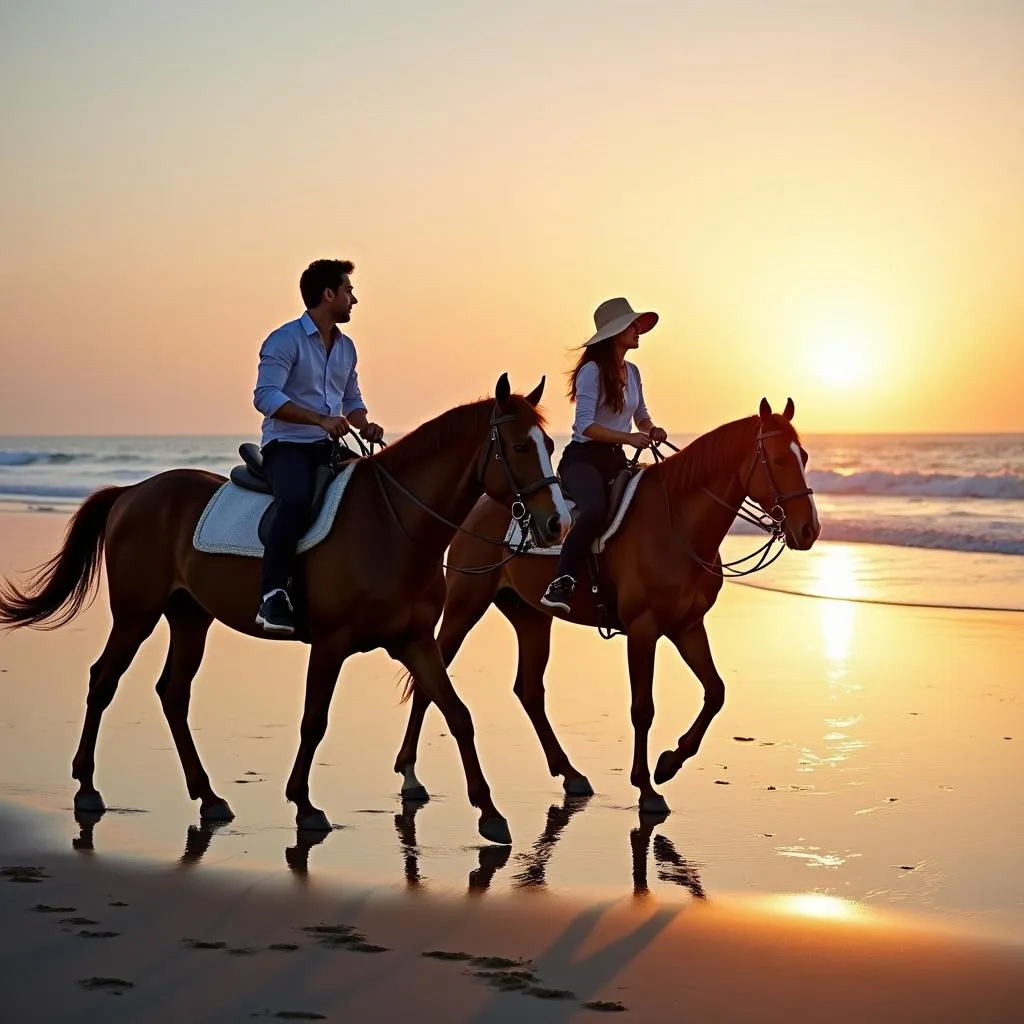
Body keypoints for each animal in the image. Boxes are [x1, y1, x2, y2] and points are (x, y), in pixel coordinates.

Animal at [0, 372, 569, 843]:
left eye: (550, 444)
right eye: (520, 446)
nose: (556, 524)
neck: (394, 526)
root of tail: (133, 492)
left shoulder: (415, 641)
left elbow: (457, 712)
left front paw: (489, 813)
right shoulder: (332, 642)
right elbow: (314, 720)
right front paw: (304, 804)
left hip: (189, 616)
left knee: (172, 693)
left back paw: (208, 797)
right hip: (136, 615)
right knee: (103, 681)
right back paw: (87, 788)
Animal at [395, 395, 819, 811]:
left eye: (805, 456)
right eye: (778, 459)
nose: (809, 529)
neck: (677, 525)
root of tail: (484, 505)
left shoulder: (687, 626)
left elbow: (716, 692)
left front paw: (668, 763)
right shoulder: (644, 629)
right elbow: (643, 708)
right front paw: (647, 788)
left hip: (531, 616)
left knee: (529, 691)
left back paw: (570, 774)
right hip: (464, 607)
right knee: (429, 683)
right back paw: (410, 774)